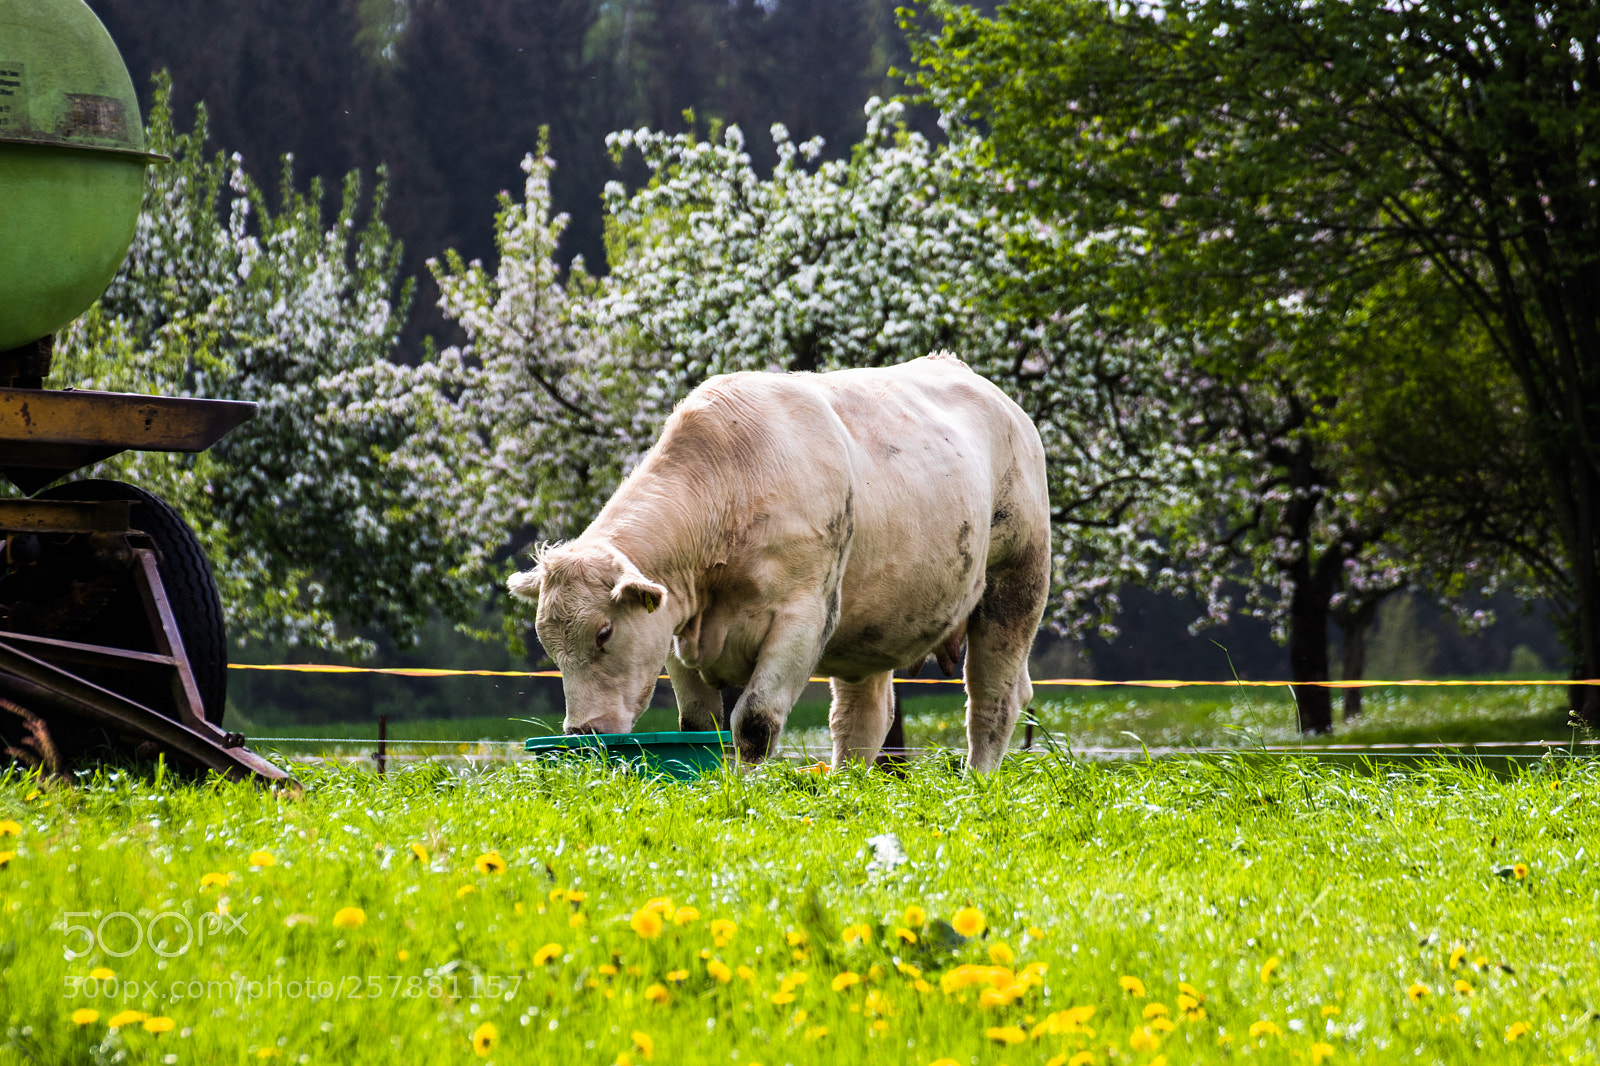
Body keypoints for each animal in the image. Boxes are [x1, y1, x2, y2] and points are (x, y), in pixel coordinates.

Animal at [507, 353, 1051, 772]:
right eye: (548, 644)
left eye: (604, 633)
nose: (582, 731)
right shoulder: (675, 630)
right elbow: (699, 727)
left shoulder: (803, 616)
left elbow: (754, 722)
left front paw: (747, 789)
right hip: (871, 625)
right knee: (862, 718)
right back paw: (845, 785)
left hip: (1018, 583)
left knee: (993, 700)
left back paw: (974, 784)